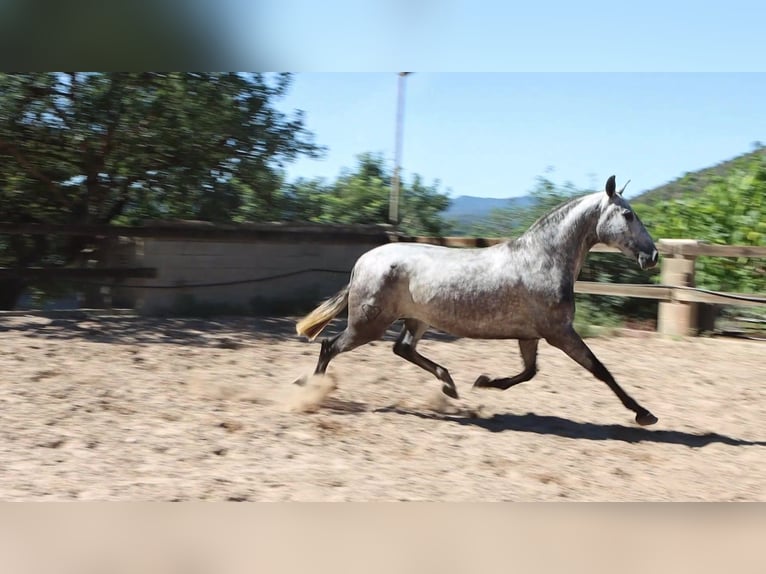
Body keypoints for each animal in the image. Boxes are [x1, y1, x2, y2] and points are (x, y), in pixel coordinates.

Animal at [296, 177, 664, 428]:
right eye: (628, 214)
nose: (653, 256)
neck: (542, 259)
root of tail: (364, 261)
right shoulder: (560, 332)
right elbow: (599, 369)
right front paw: (644, 413)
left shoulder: (531, 334)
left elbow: (529, 372)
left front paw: (484, 382)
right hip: (368, 324)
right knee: (330, 346)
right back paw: (309, 391)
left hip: (416, 320)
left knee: (402, 349)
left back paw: (450, 385)